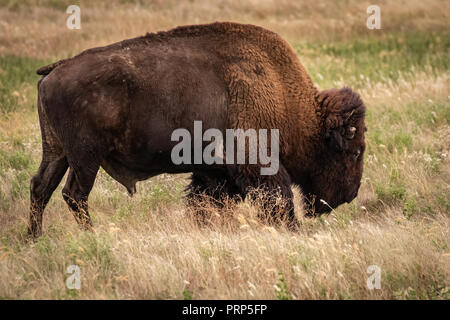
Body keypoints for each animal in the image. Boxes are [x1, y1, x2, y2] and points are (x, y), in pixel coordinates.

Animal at [29, 21, 366, 236]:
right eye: (354, 151)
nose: (351, 194)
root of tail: (56, 69)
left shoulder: (215, 169)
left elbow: (206, 200)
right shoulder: (256, 163)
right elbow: (277, 197)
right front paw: (292, 230)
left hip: (57, 152)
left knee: (41, 187)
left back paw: (35, 238)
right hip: (85, 158)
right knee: (74, 194)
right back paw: (91, 236)